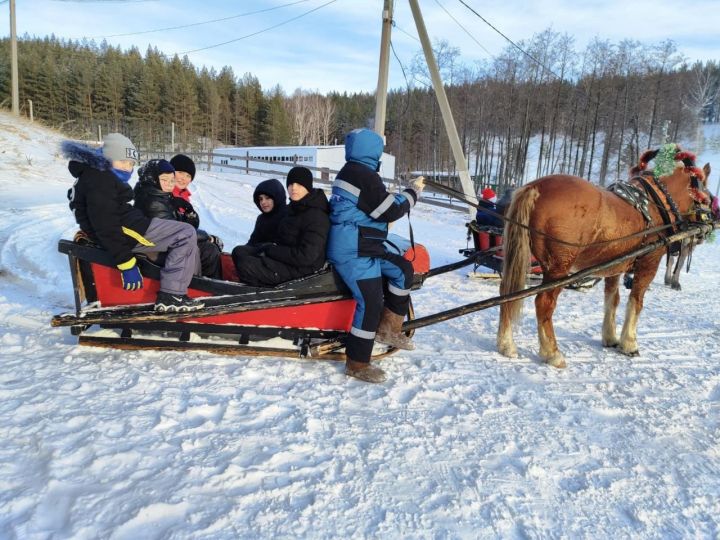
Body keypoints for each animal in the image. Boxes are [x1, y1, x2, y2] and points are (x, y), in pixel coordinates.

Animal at [498, 146, 712, 370]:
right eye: (705, 192)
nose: (708, 224)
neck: (657, 204)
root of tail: (534, 187)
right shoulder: (649, 262)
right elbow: (636, 301)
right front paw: (629, 343)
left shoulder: (615, 266)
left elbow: (612, 300)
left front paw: (610, 337)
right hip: (558, 267)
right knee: (544, 303)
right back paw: (552, 353)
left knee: (509, 291)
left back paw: (506, 345)